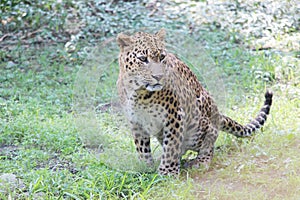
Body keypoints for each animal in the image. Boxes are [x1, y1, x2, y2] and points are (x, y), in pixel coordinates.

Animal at [116, 28, 274, 176]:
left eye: (162, 57)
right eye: (143, 58)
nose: (159, 76)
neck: (139, 93)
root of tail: (216, 113)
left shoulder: (174, 114)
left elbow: (171, 145)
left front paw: (167, 172)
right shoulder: (136, 120)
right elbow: (142, 147)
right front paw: (146, 167)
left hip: (197, 127)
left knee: (210, 138)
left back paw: (200, 161)